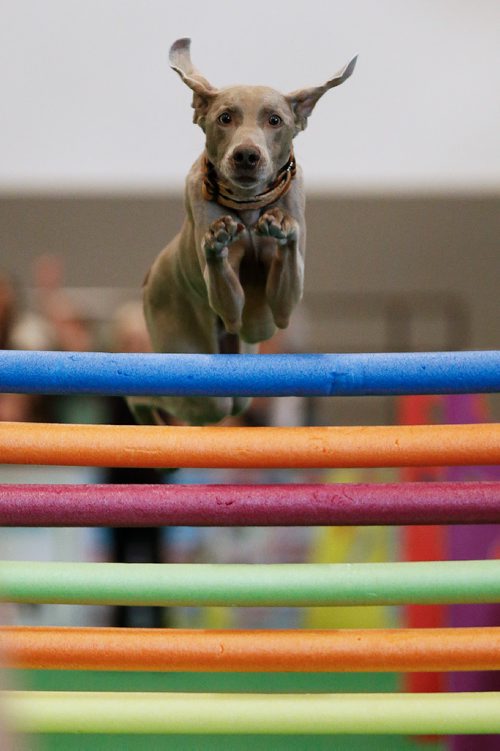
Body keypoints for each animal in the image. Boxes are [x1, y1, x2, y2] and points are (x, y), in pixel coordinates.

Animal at [129, 38, 356, 426]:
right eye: (225, 117)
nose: (247, 155)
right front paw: (218, 239)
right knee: (157, 393)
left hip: (245, 350)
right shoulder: (231, 307)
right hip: (187, 348)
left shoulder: (276, 314)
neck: (249, 208)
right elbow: (222, 277)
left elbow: (285, 278)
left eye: (275, 120)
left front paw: (281, 227)